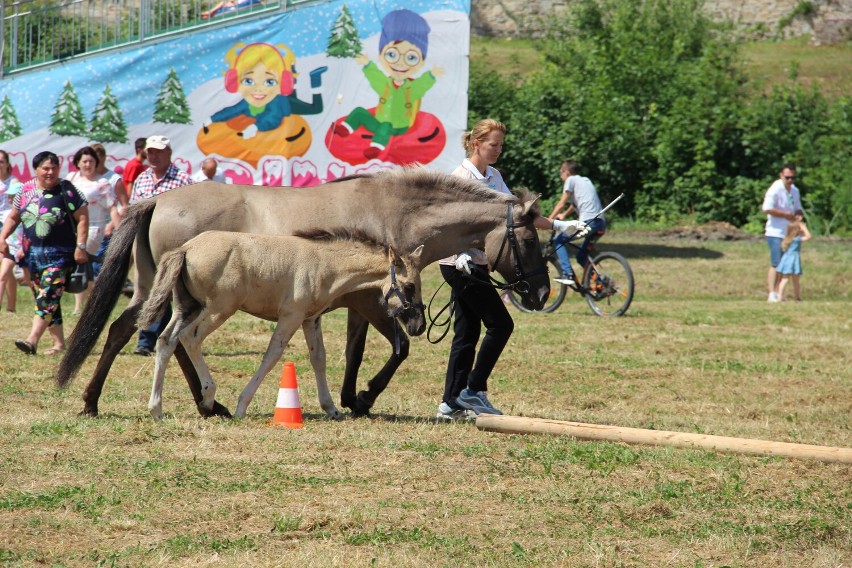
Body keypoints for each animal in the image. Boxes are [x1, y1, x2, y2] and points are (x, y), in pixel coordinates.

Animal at [139, 229, 426, 420]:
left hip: (187, 308)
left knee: (166, 341)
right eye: (409, 286)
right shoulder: (291, 316)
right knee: (191, 338)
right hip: (218, 310)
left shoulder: (311, 319)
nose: (419, 326)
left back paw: (156, 409)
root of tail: (186, 248)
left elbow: (319, 358)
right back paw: (209, 398)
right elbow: (272, 355)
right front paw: (242, 406)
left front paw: (331, 408)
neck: (324, 263)